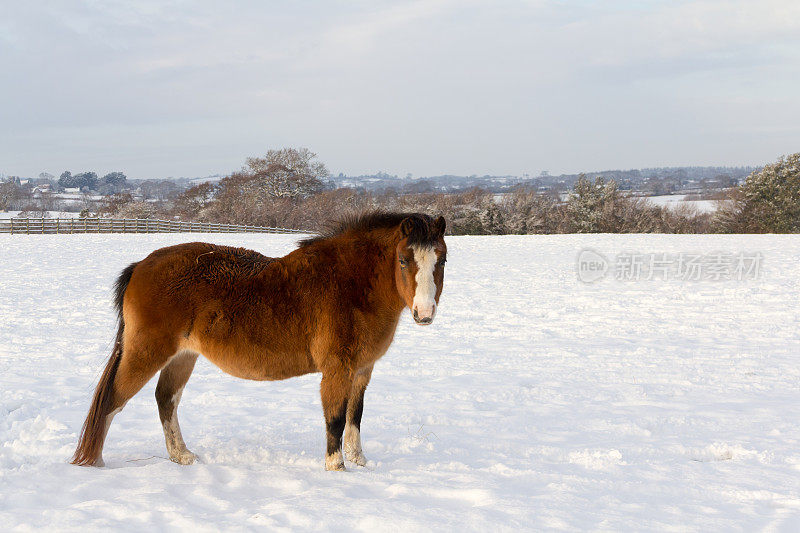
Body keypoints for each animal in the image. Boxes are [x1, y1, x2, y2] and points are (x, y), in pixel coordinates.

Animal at [71, 212, 446, 470]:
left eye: (441, 259)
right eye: (403, 260)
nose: (424, 313)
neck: (349, 283)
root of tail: (141, 265)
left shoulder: (363, 371)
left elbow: (355, 417)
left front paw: (359, 461)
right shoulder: (338, 370)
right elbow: (336, 419)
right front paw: (336, 467)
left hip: (182, 357)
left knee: (166, 399)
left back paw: (182, 456)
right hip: (146, 353)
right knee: (112, 401)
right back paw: (95, 463)